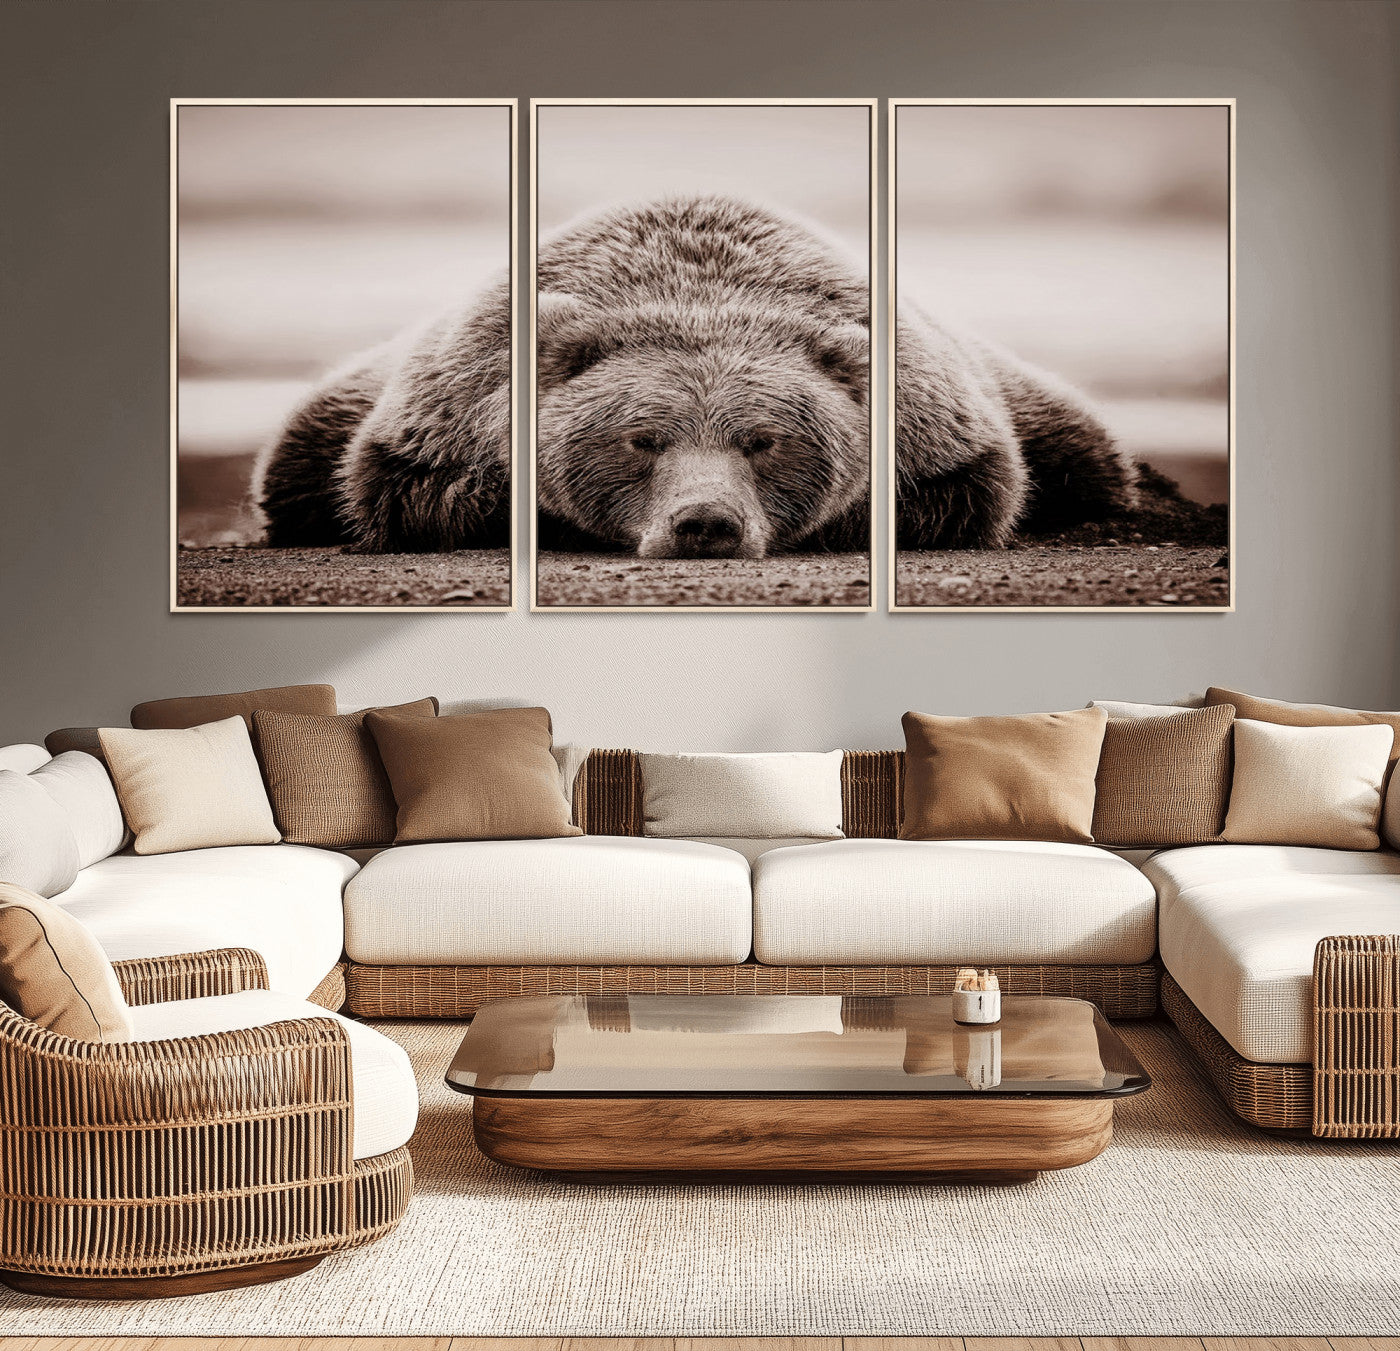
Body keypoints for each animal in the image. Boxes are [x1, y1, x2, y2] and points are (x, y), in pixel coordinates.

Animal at [255, 193, 1134, 556]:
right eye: (641, 438)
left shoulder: (934, 420)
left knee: (1085, 450)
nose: (705, 522)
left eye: (764, 440)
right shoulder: (451, 405)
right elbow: (406, 487)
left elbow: (966, 489)